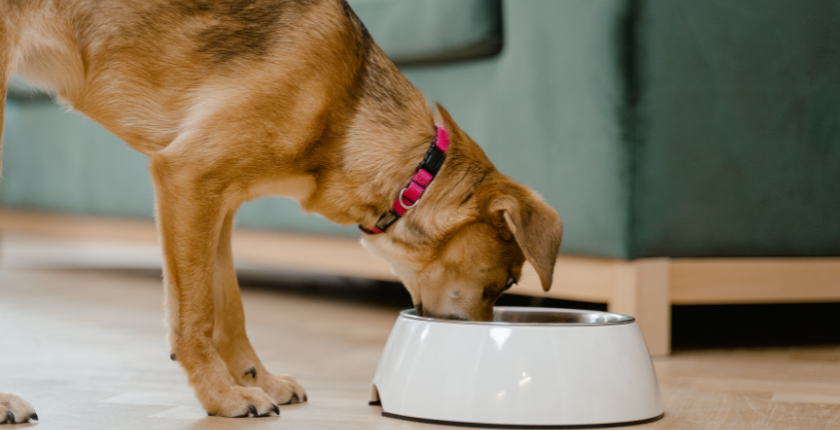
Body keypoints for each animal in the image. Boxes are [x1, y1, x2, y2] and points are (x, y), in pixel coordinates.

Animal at [0, 0, 564, 422]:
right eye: (506, 283)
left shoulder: (216, 202)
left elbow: (228, 308)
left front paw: (256, 379)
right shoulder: (187, 177)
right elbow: (196, 315)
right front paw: (223, 397)